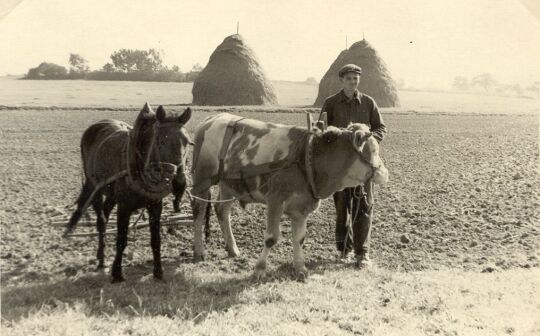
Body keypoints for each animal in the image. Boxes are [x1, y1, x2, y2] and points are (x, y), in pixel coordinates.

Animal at [65, 103, 192, 282]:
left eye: (187, 142)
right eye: (161, 141)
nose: (179, 183)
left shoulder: (155, 205)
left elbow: (156, 240)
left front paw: (158, 272)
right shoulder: (124, 207)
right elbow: (121, 240)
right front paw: (117, 273)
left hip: (111, 195)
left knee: (106, 212)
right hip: (94, 186)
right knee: (101, 221)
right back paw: (101, 259)